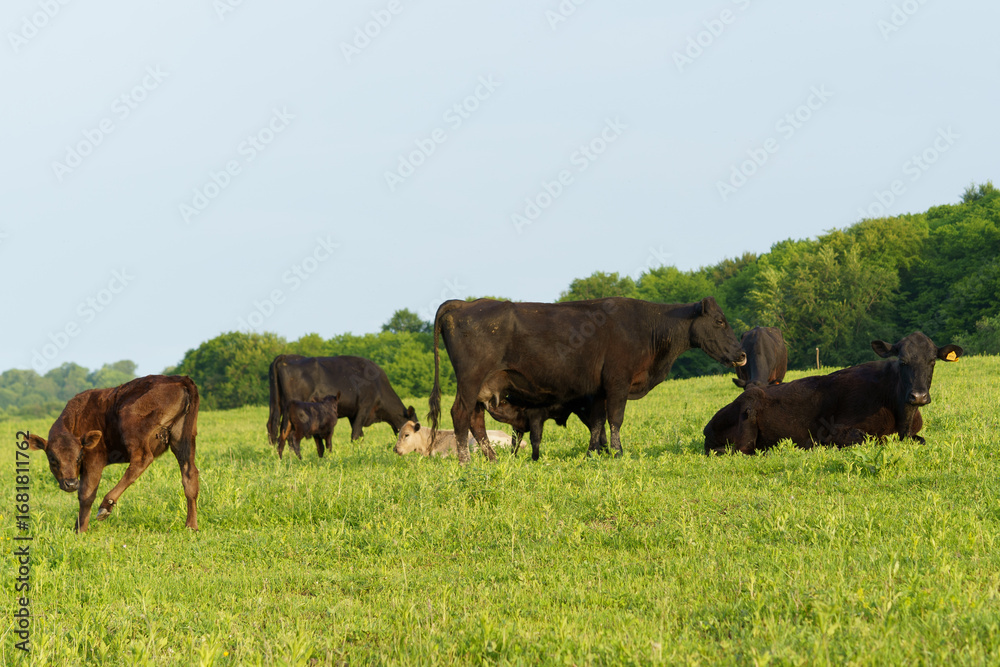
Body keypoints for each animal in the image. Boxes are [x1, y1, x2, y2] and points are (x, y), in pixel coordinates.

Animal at [25, 375, 200, 533]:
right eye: (52, 459)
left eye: (79, 457)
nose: (71, 483)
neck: (77, 418)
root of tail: (180, 378)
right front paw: (76, 527)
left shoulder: (94, 460)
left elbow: (86, 495)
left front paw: (80, 530)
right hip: (182, 440)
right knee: (189, 475)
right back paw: (191, 526)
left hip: (133, 428)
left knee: (142, 460)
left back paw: (105, 506)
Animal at [267, 355, 416, 453]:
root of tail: (286, 357)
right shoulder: (364, 408)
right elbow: (355, 434)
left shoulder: (353, 414)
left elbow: (360, 435)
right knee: (287, 432)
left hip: (276, 404)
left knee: (272, 426)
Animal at [428, 296, 747, 464]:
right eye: (720, 321)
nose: (742, 354)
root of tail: (463, 304)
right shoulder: (617, 382)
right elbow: (615, 419)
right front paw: (617, 452)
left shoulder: (599, 391)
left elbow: (597, 423)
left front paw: (596, 452)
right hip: (470, 381)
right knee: (460, 414)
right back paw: (465, 460)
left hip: (482, 386)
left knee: (476, 420)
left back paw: (492, 458)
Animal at [704, 332, 963, 455]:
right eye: (902, 361)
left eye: (932, 361)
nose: (918, 396)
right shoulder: (836, 429)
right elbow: (868, 438)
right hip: (748, 410)